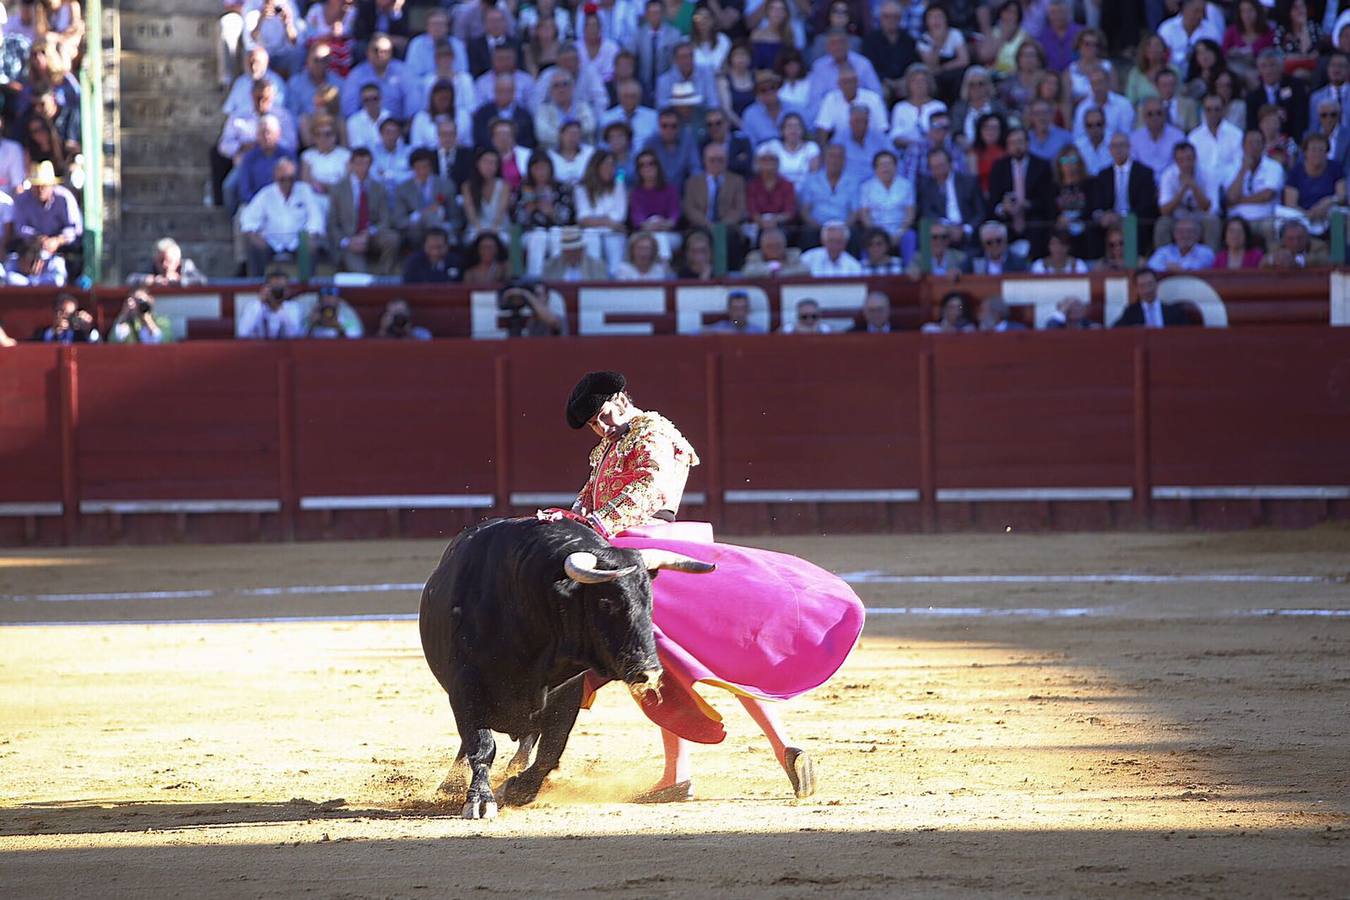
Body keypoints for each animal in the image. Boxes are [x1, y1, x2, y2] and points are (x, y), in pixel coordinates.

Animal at [418, 518, 718, 820]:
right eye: (606, 602)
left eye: (650, 601)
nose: (650, 672)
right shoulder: (466, 686)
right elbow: (481, 746)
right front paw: (480, 798)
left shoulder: (566, 692)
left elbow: (551, 750)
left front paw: (514, 789)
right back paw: (450, 784)